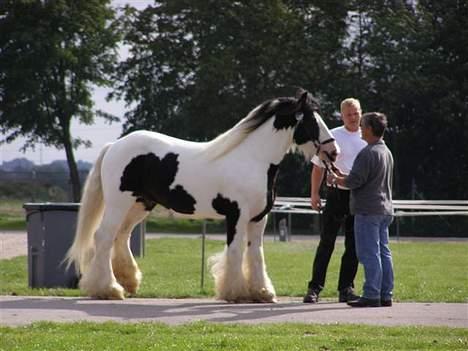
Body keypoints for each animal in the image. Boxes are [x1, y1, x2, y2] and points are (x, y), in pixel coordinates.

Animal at [66, 88, 336, 302]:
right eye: (312, 121)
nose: (333, 151)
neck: (252, 159)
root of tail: (114, 145)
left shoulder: (259, 218)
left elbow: (256, 253)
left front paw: (262, 292)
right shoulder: (237, 215)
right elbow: (236, 251)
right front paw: (235, 293)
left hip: (140, 204)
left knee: (121, 236)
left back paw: (128, 282)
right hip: (119, 203)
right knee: (103, 237)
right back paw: (109, 289)